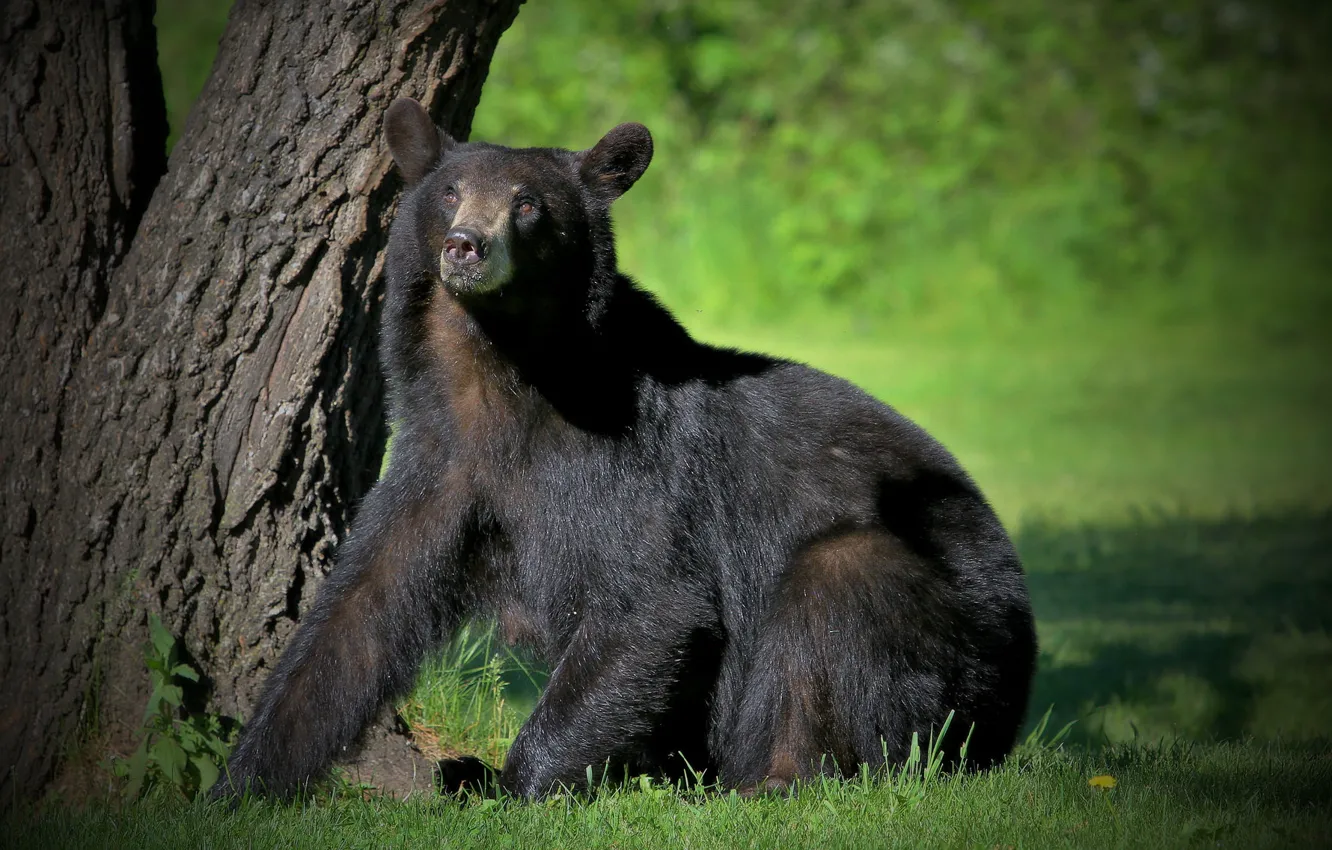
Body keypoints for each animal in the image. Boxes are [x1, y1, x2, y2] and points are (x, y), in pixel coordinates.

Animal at [216, 96, 1037, 800]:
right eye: (449, 192)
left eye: (528, 204)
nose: (466, 247)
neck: (500, 382)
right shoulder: (441, 462)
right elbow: (359, 609)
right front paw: (241, 781)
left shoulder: (627, 462)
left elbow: (651, 602)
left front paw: (518, 785)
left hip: (955, 643)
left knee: (839, 595)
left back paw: (768, 779)